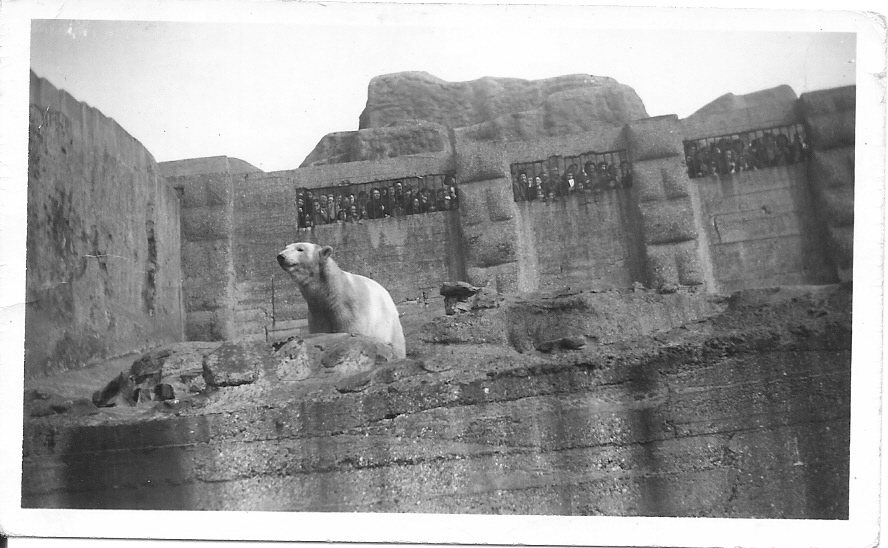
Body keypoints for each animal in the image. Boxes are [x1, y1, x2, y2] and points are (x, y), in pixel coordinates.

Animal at [276, 242, 406, 359]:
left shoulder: (351, 309)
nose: (280, 256)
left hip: (389, 325)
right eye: (286, 247)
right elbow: (320, 330)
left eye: (300, 249)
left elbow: (352, 330)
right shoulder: (317, 311)